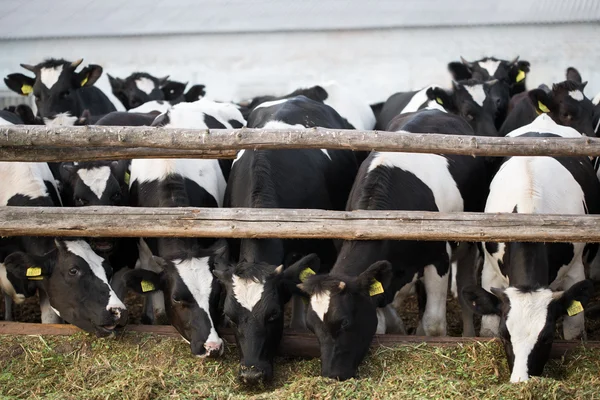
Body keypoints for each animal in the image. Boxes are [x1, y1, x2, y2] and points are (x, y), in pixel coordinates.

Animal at [298, 110, 490, 382]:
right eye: (311, 327)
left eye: (344, 322)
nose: (331, 375)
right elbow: (382, 320)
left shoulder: (438, 259)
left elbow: (433, 324)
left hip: (468, 242)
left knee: (464, 286)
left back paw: (468, 333)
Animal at [464, 114, 596, 382]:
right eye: (505, 335)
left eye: (547, 337)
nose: (521, 382)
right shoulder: (490, 272)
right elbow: (486, 329)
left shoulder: (575, 270)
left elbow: (574, 331)